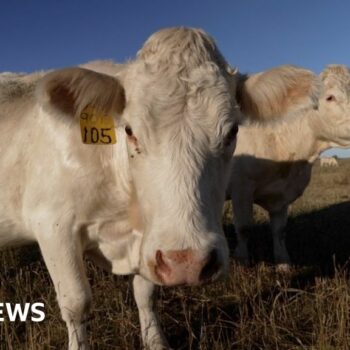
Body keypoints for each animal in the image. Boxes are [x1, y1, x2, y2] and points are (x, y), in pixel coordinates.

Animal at [227, 63, 350, 270]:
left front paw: (283, 264)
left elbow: (280, 230)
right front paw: (241, 261)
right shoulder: (241, 187)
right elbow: (243, 228)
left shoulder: (282, 196)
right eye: (330, 97)